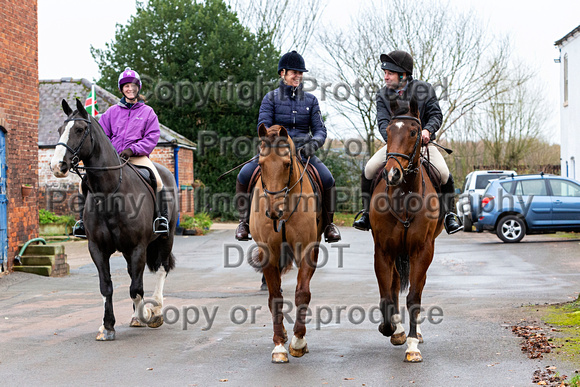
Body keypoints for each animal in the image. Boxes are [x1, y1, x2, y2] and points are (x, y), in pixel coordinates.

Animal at [49, 99, 177, 340]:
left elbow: (136, 288)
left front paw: (146, 314)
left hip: (166, 238)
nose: (57, 166)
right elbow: (107, 286)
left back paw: (154, 310)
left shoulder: (138, 247)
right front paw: (107, 326)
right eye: (60, 130)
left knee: (161, 269)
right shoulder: (98, 248)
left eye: (79, 129)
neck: (109, 193)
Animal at [248, 123, 324, 364]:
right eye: (261, 164)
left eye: (287, 164)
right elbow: (275, 297)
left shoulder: (307, 251)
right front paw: (279, 345)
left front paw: (298, 341)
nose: (274, 212)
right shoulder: (268, 254)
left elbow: (303, 293)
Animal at [372, 97, 444, 364]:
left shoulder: (421, 251)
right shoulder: (383, 250)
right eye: (389, 131)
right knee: (394, 286)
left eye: (414, 132)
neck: (404, 196)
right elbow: (387, 293)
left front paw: (412, 346)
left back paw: (416, 333)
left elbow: (414, 296)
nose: (392, 173)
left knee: (418, 286)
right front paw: (391, 329)